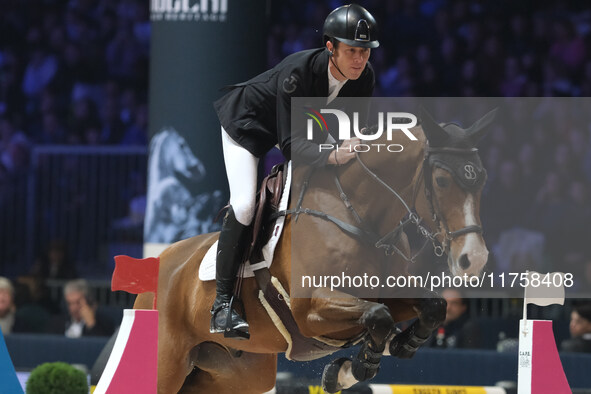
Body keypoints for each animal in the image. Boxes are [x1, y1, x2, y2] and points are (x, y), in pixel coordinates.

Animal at [133, 108, 494, 394]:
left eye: (482, 180)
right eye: (442, 181)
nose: (474, 259)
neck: (362, 220)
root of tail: (156, 264)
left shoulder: (389, 293)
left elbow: (430, 308)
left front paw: (389, 349)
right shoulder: (310, 309)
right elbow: (378, 316)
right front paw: (354, 367)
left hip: (236, 374)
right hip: (167, 365)